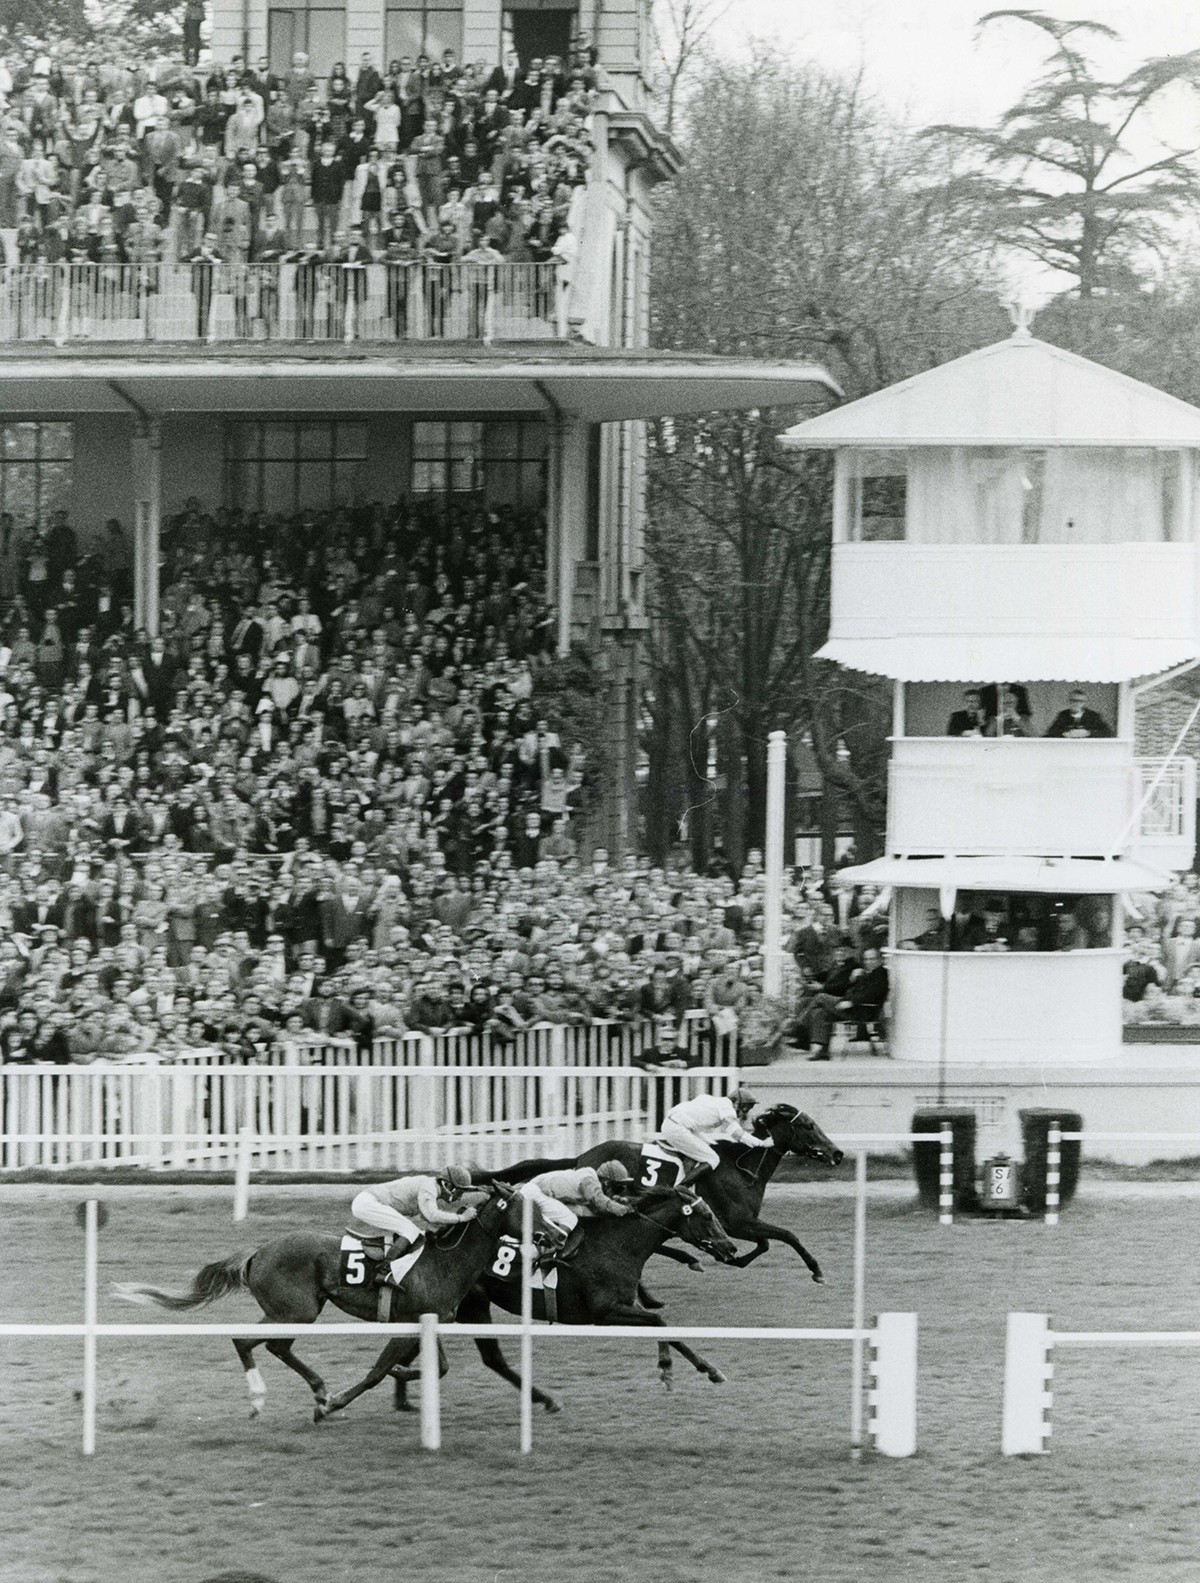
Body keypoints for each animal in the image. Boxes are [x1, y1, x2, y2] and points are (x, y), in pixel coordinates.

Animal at [111, 1184, 535, 1418]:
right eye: (530, 1208)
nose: (549, 1234)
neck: (445, 1261)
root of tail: (256, 1253)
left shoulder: (424, 1322)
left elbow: (439, 1367)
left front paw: (401, 1376)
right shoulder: (407, 1324)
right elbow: (376, 1372)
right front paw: (333, 1405)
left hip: (295, 1311)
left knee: (275, 1346)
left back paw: (315, 1387)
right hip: (294, 1311)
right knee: (246, 1340)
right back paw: (262, 1399)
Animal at [319, 1184, 747, 1418]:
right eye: (707, 1216)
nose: (730, 1247)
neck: (617, 1245)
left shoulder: (620, 1308)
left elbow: (662, 1323)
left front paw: (699, 1368)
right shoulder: (605, 1312)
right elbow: (661, 1323)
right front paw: (676, 1370)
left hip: (468, 1306)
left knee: (482, 1357)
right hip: (469, 1305)